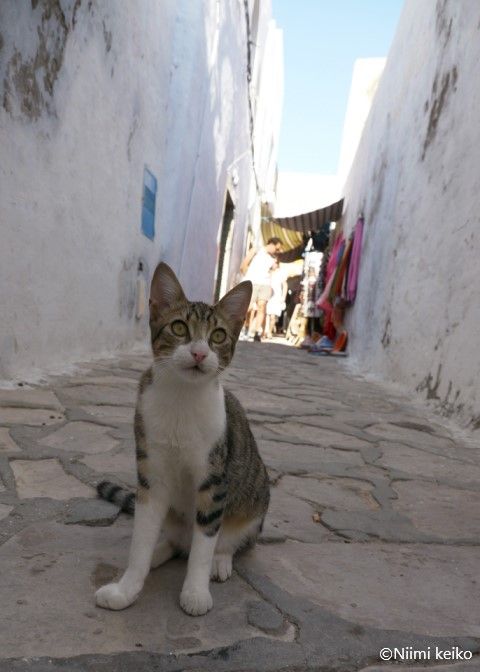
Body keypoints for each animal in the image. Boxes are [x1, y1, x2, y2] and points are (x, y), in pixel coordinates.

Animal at [95, 262, 270, 616]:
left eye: (218, 336)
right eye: (178, 328)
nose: (200, 353)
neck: (182, 399)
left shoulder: (213, 480)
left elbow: (204, 545)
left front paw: (195, 592)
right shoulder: (151, 475)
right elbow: (141, 540)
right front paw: (127, 588)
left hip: (256, 504)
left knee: (225, 541)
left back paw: (221, 560)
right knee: (176, 544)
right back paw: (160, 553)